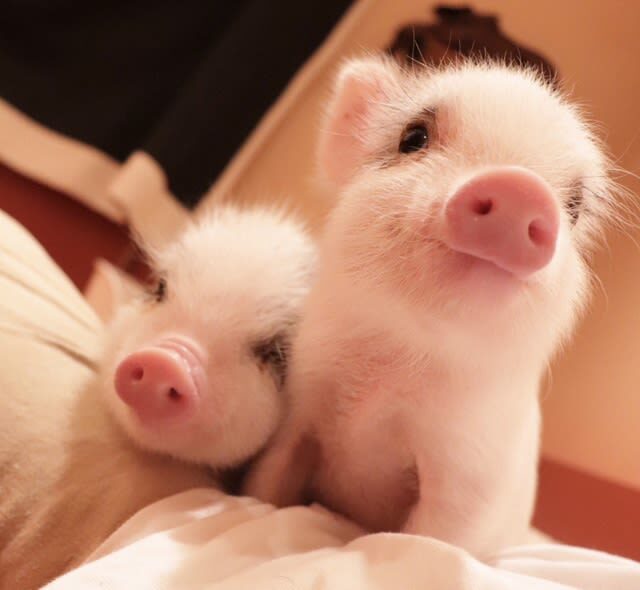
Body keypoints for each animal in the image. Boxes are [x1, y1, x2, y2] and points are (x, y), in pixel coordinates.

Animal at [244, 55, 617, 559]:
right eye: (414, 137)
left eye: (574, 208)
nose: (519, 186)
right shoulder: (300, 411)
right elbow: (267, 486)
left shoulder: (471, 482)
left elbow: (428, 543)